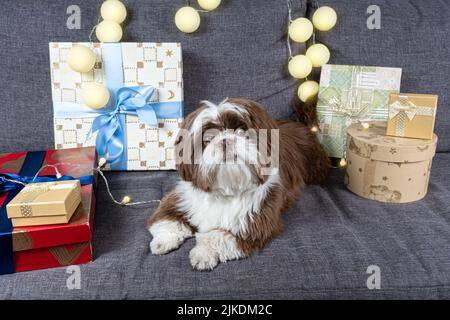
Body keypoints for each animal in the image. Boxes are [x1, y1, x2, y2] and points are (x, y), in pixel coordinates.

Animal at [147, 97, 326, 270]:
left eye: (242, 131)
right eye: (207, 138)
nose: (225, 141)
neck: (226, 191)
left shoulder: (254, 222)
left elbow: (217, 236)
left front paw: (203, 254)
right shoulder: (180, 200)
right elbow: (167, 219)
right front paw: (162, 242)